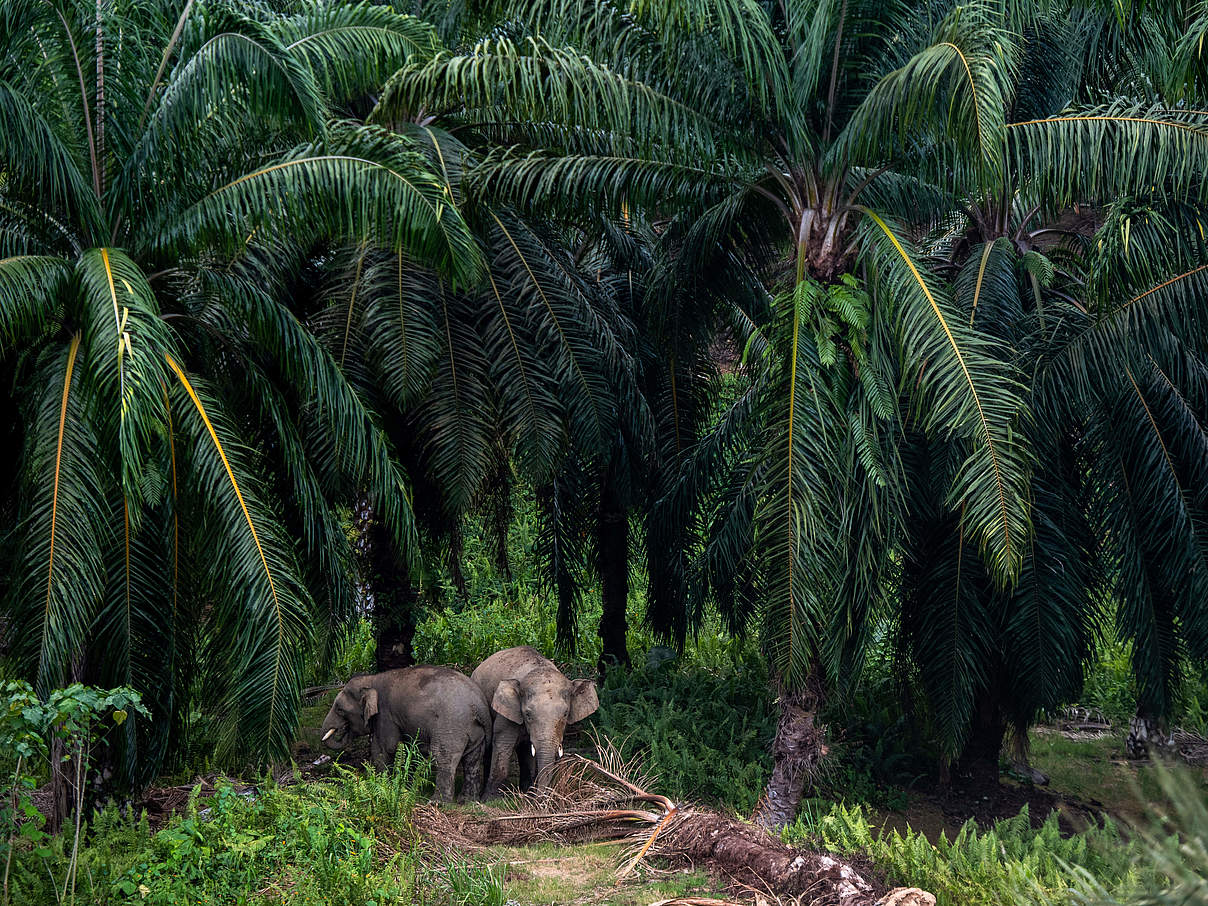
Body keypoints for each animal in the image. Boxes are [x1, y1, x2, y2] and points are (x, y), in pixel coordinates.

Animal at [323, 666, 492, 802]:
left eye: (339, 709)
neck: (371, 679)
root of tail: (480, 705)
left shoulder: (385, 714)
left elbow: (385, 748)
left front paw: (382, 785)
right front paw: (405, 786)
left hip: (451, 726)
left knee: (444, 757)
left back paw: (437, 802)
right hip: (474, 731)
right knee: (472, 760)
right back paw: (467, 801)